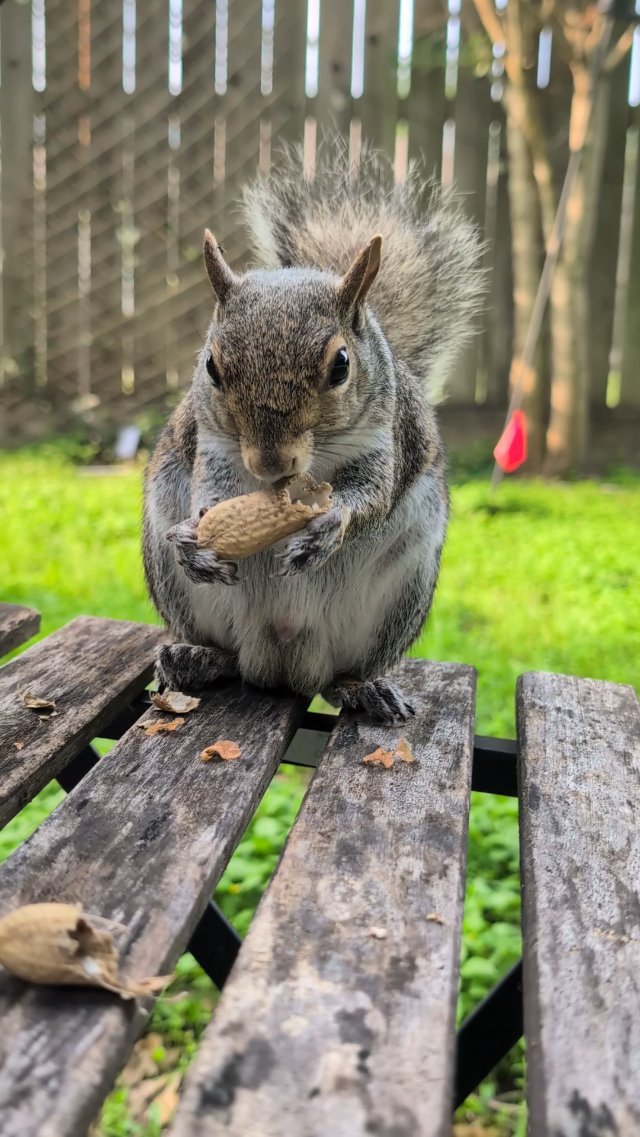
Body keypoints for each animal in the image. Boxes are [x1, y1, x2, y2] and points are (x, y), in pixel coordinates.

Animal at [142, 141, 483, 721]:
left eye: (341, 365)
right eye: (210, 366)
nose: (270, 464)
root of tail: (281, 659)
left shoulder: (382, 439)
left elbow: (372, 492)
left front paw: (329, 525)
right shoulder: (215, 446)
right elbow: (210, 494)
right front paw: (196, 539)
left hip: (399, 596)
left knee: (340, 675)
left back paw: (363, 688)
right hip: (176, 581)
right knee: (224, 652)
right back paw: (195, 657)